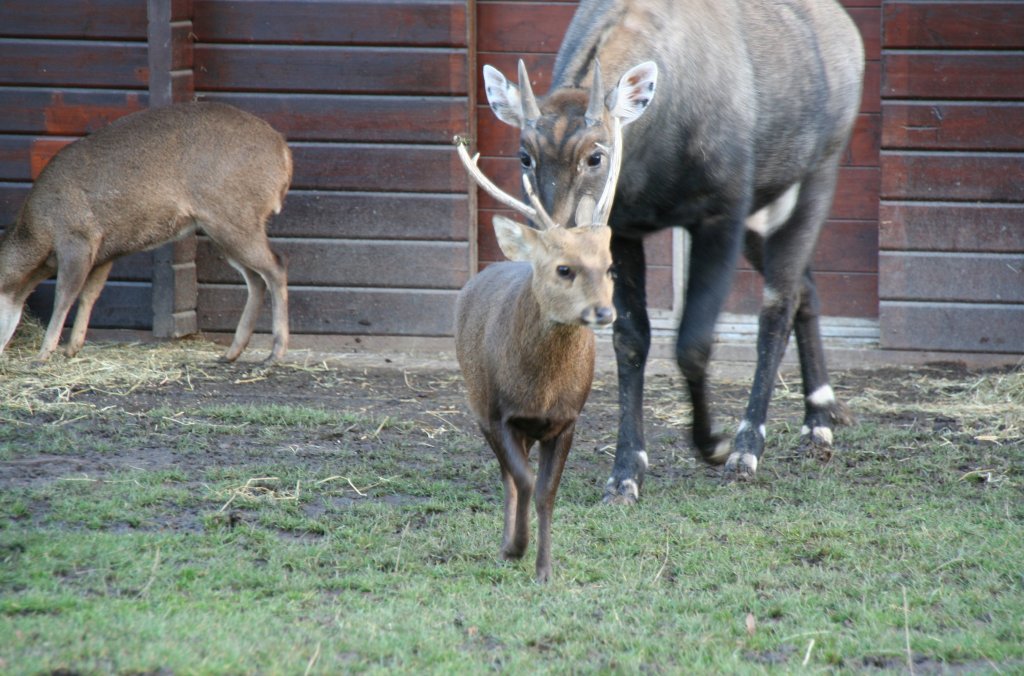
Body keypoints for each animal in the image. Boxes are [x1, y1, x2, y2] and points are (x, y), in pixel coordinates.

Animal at [0, 100, 292, 364]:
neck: (39, 232)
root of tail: (284, 154)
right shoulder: (105, 251)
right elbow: (89, 295)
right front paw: (72, 347)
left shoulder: (77, 238)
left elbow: (64, 295)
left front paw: (43, 354)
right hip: (224, 227)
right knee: (256, 278)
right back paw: (232, 352)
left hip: (233, 215)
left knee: (276, 267)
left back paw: (275, 353)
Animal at [456, 61, 655, 581]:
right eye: (563, 268)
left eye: (610, 267)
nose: (604, 312)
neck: (540, 391)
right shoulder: (495, 413)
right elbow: (521, 481)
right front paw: (515, 547)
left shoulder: (567, 420)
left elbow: (546, 493)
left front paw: (544, 569)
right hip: (476, 397)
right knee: (508, 477)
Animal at [483, 0, 868, 495]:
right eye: (524, 155)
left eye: (596, 155)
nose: (556, 241)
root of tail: (845, 28)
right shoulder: (625, 230)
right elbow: (630, 341)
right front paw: (625, 473)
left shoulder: (720, 215)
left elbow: (694, 342)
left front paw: (715, 444)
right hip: (762, 211)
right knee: (805, 288)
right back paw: (820, 415)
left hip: (816, 178)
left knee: (778, 305)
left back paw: (755, 444)